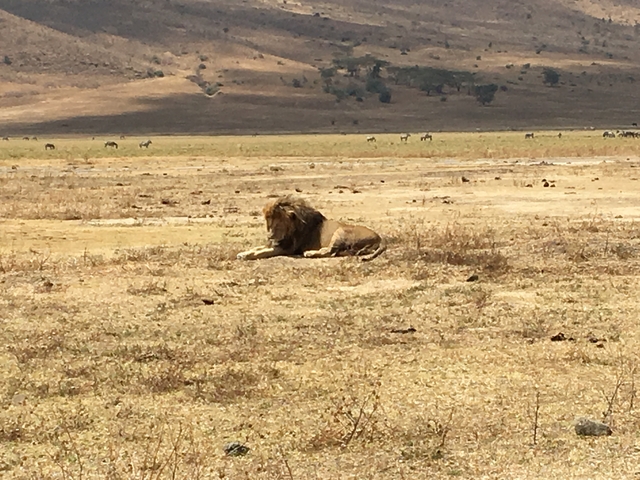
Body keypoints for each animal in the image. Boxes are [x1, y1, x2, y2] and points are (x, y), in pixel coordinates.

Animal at [236, 196, 386, 261]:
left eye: (278, 224)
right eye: (269, 223)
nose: (270, 236)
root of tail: (380, 238)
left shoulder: (287, 248)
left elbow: (262, 252)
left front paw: (245, 256)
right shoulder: (277, 243)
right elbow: (257, 248)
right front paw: (243, 253)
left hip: (341, 231)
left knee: (330, 252)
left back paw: (309, 253)